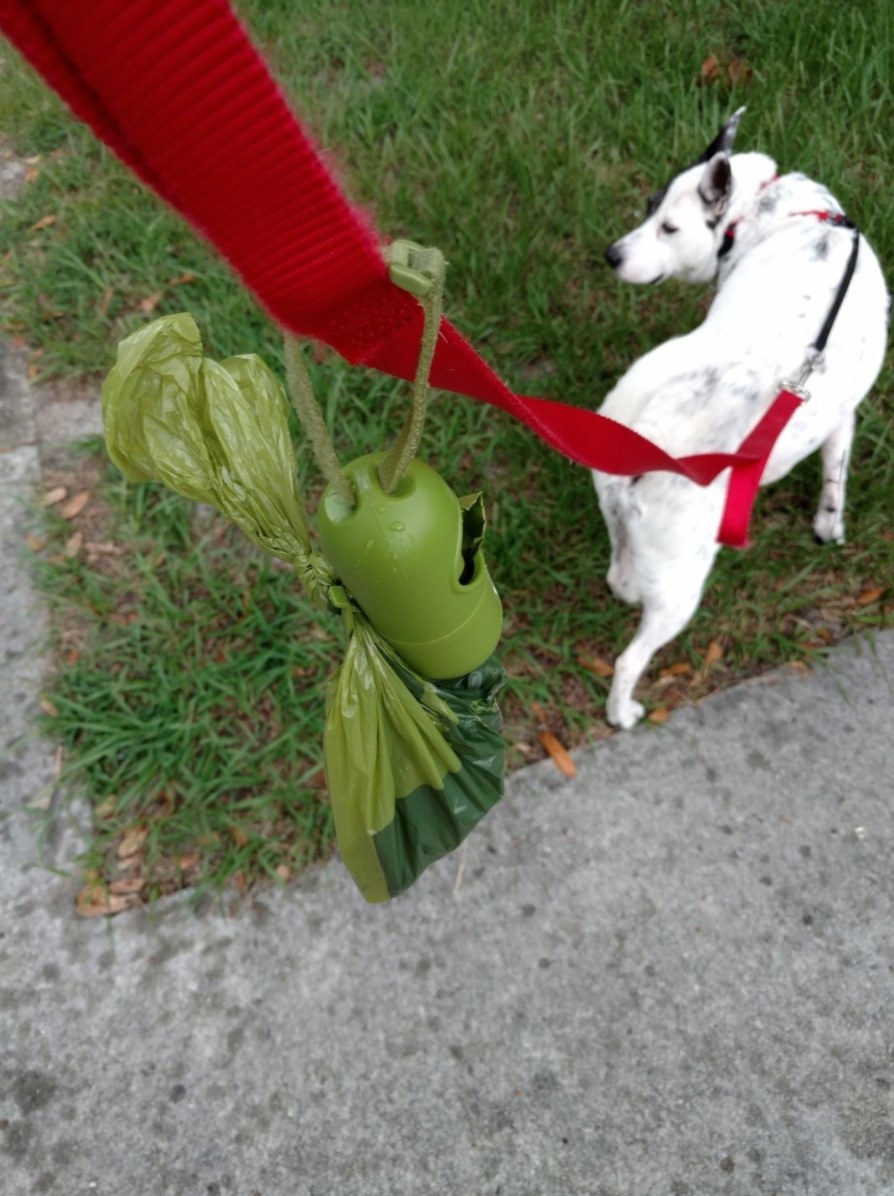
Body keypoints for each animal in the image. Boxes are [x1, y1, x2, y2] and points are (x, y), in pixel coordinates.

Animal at [593, 110, 890, 727]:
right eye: (650, 209)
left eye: (666, 224)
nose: (610, 255)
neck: (776, 213)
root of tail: (644, 443)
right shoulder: (844, 417)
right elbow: (836, 476)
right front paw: (829, 527)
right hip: (682, 581)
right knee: (630, 658)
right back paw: (623, 711)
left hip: (628, 532)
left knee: (621, 578)